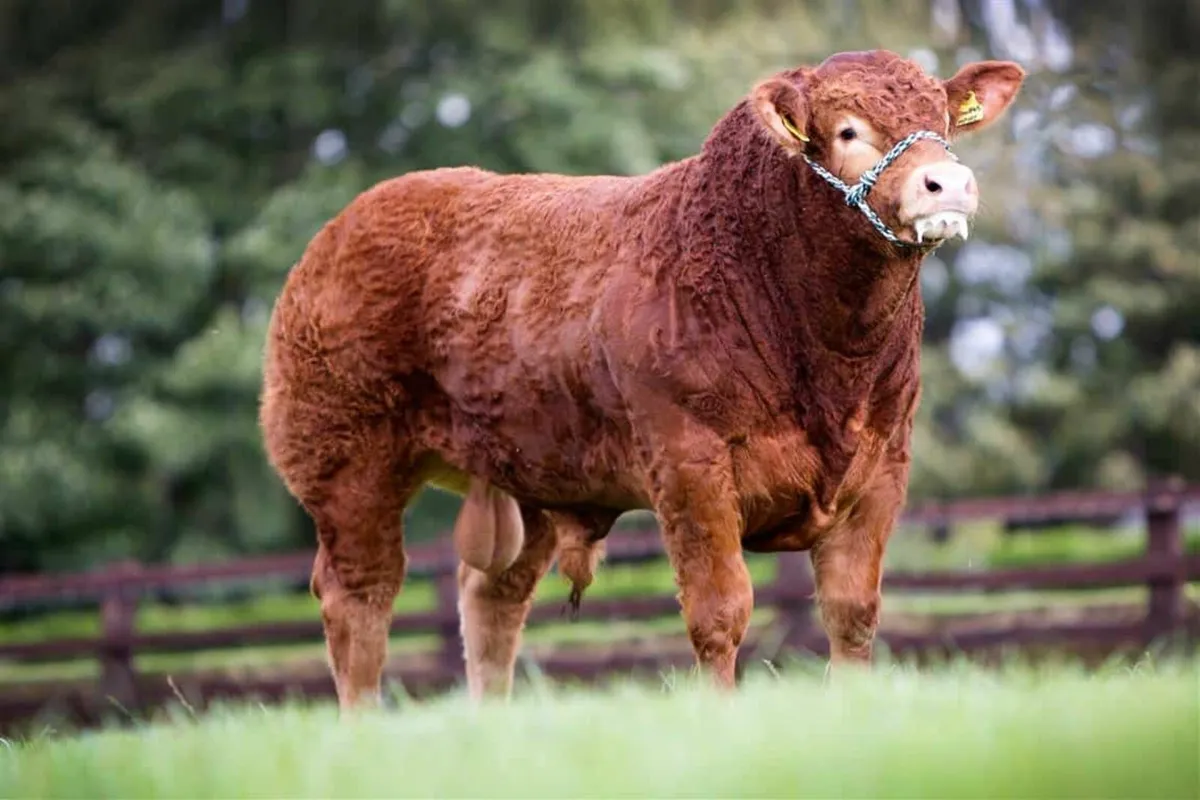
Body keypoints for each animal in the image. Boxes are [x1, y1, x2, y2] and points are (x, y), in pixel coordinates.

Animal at [258, 49, 1025, 711]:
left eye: (944, 120)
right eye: (848, 130)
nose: (948, 183)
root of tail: (346, 223)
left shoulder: (884, 460)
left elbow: (852, 612)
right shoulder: (688, 458)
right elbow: (719, 610)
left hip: (527, 467)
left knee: (491, 596)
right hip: (344, 459)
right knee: (360, 597)